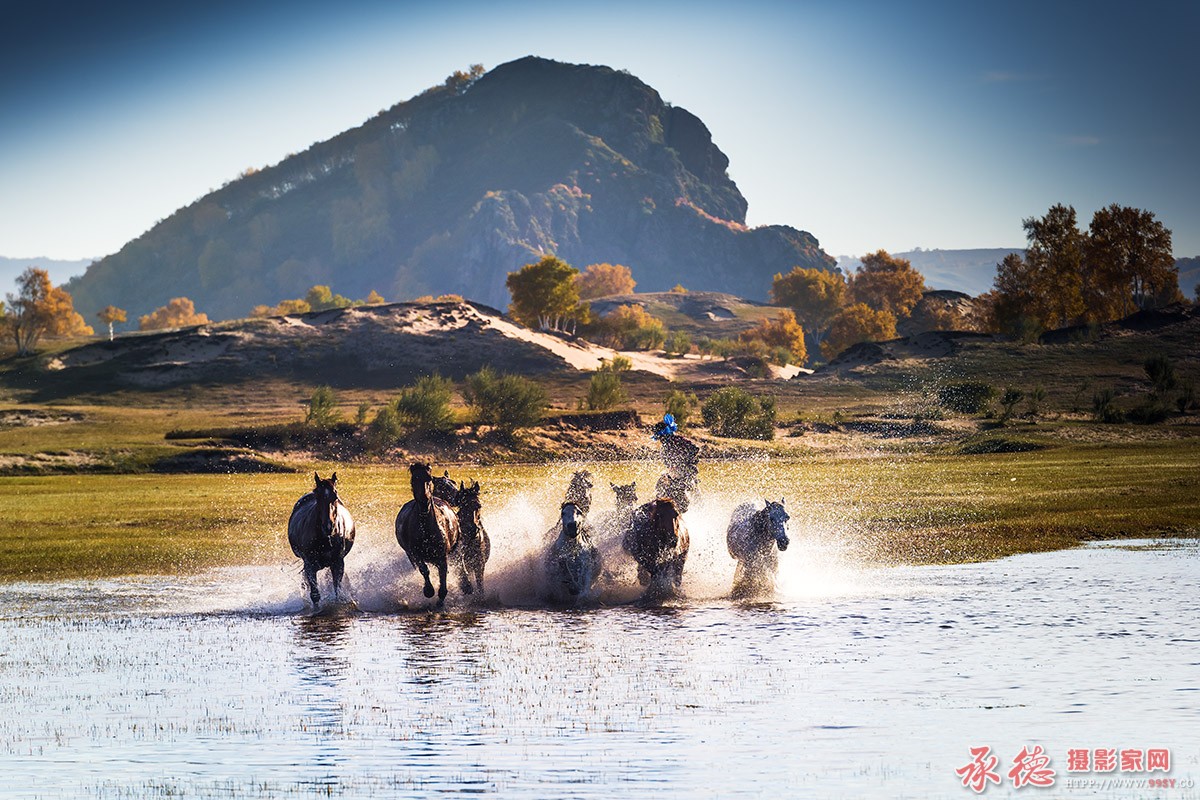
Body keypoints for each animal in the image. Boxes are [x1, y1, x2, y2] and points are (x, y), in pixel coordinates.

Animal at [286, 470, 355, 606]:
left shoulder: (338, 563)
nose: (328, 526)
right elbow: (315, 595)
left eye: (335, 496)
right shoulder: (310, 565)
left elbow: (337, 592)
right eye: (318, 496)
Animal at [398, 462, 463, 606]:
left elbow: (443, 573)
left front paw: (442, 596)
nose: (424, 500)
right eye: (413, 480)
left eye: (429, 478)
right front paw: (429, 590)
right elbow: (424, 570)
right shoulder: (415, 554)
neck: (426, 528)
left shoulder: (443, 555)